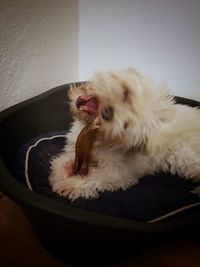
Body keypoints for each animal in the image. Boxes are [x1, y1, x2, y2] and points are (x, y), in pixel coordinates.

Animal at [49, 69, 200, 201]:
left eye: (126, 124)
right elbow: (61, 161)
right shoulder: (77, 149)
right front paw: (60, 174)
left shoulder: (120, 174)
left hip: (185, 156)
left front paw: (70, 185)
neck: (96, 136)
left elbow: (95, 177)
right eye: (126, 94)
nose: (108, 113)